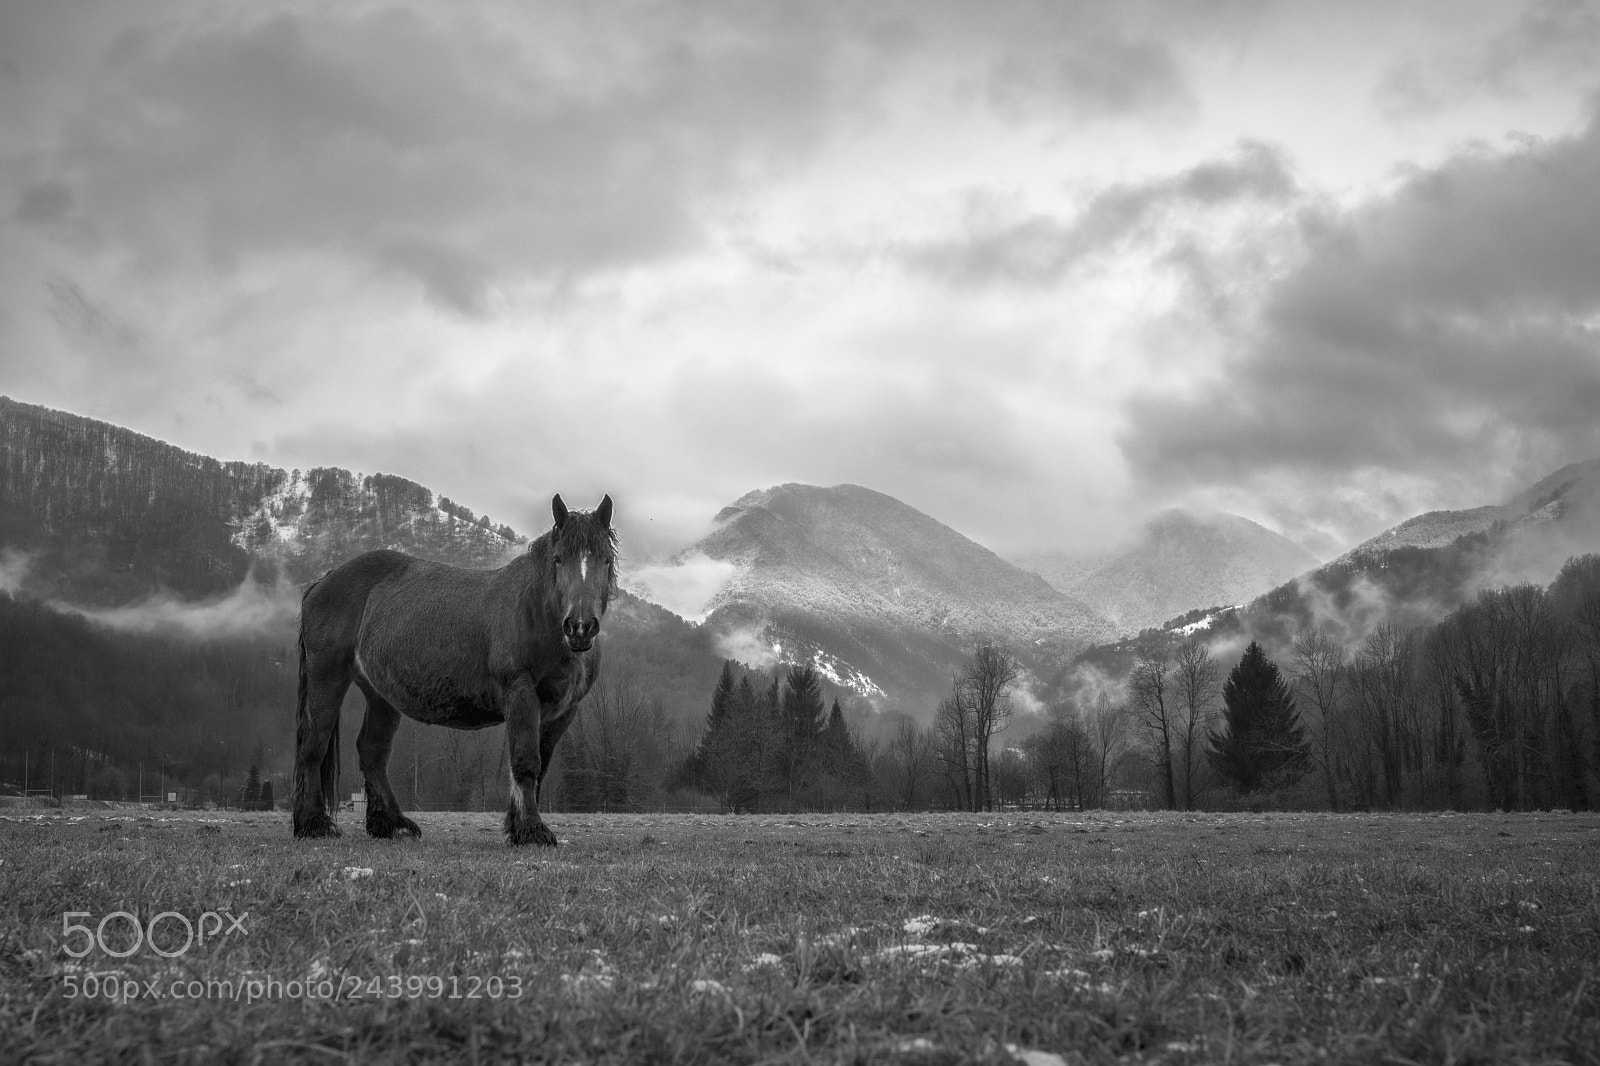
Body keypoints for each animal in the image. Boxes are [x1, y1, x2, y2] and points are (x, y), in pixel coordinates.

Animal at [290, 493, 616, 846]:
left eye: (605, 560)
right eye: (558, 560)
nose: (580, 626)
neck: (539, 615)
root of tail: (324, 581)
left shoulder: (563, 710)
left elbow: (539, 767)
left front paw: (518, 827)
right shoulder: (521, 694)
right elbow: (525, 762)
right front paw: (532, 831)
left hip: (380, 695)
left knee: (372, 751)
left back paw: (391, 823)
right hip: (328, 676)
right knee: (314, 743)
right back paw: (314, 824)